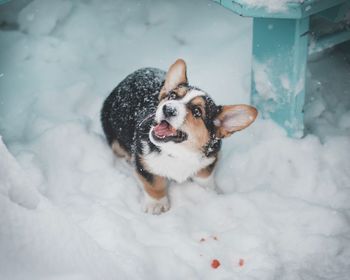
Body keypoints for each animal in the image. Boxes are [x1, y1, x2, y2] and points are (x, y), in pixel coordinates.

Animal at [101, 59, 258, 214]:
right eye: (172, 96)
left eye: (197, 111)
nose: (168, 108)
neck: (179, 152)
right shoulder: (144, 163)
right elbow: (155, 184)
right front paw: (157, 205)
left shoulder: (209, 159)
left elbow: (204, 178)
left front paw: (210, 192)